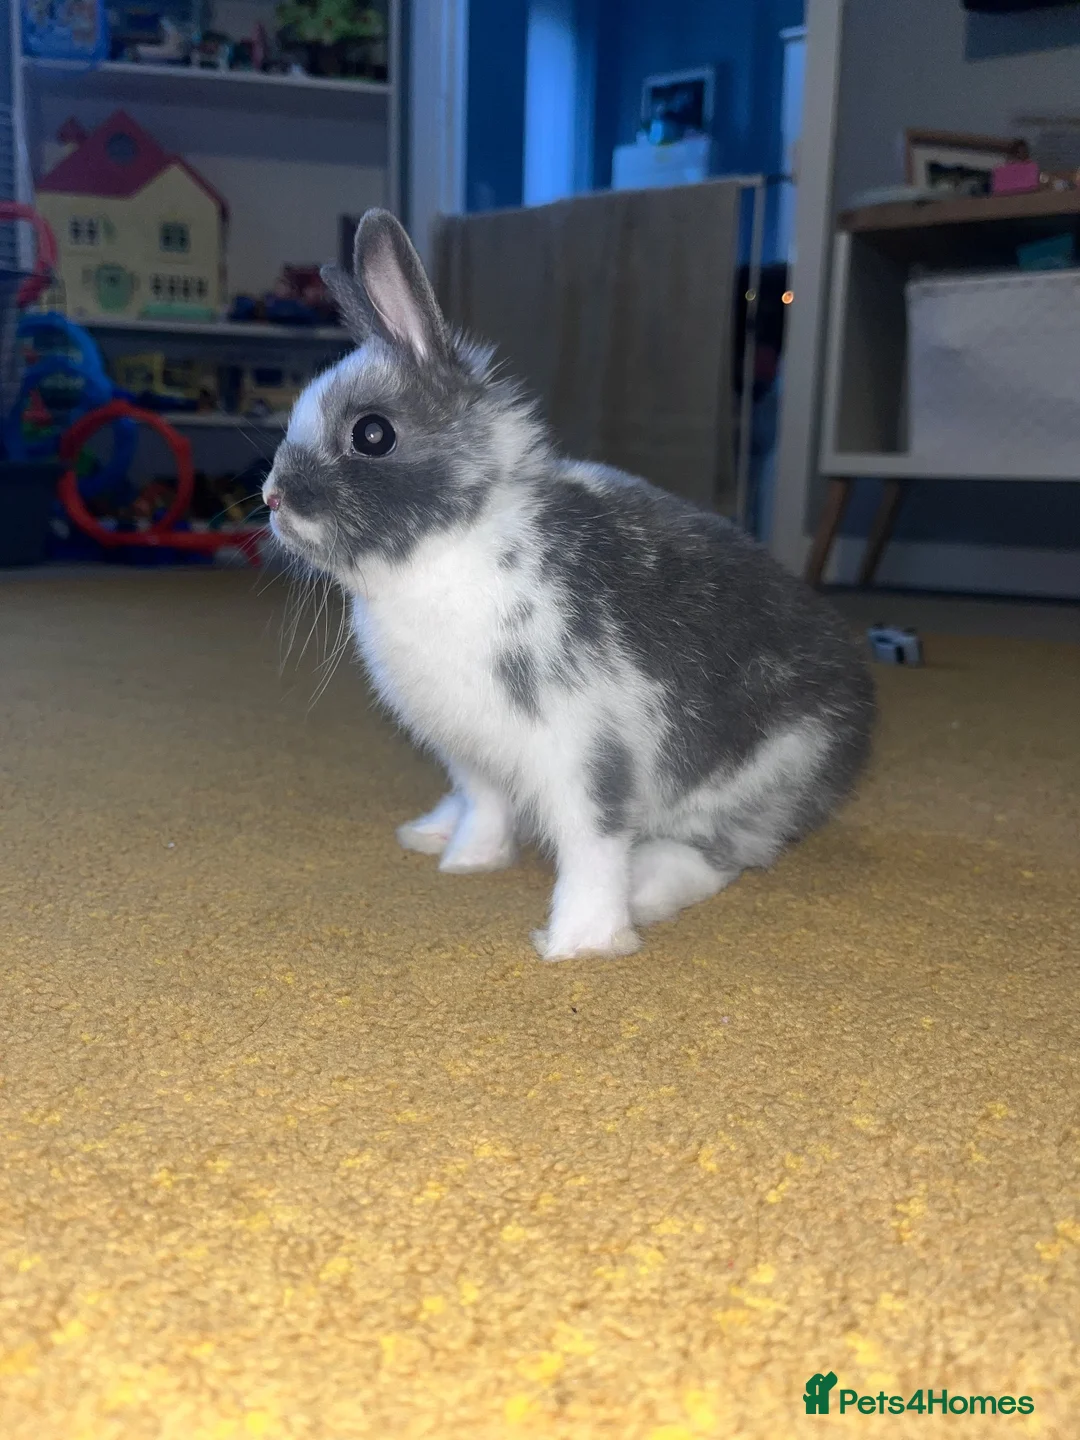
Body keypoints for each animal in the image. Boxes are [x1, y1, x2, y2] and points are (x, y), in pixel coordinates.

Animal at [263, 209, 875, 961]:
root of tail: (859, 724)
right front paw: (468, 861)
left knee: (717, 855)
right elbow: (485, 807)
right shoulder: (473, 752)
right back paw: (431, 832)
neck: (455, 542)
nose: (271, 498)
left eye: (371, 434)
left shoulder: (586, 754)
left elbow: (592, 847)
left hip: (761, 777)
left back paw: (646, 891)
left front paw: (580, 943)